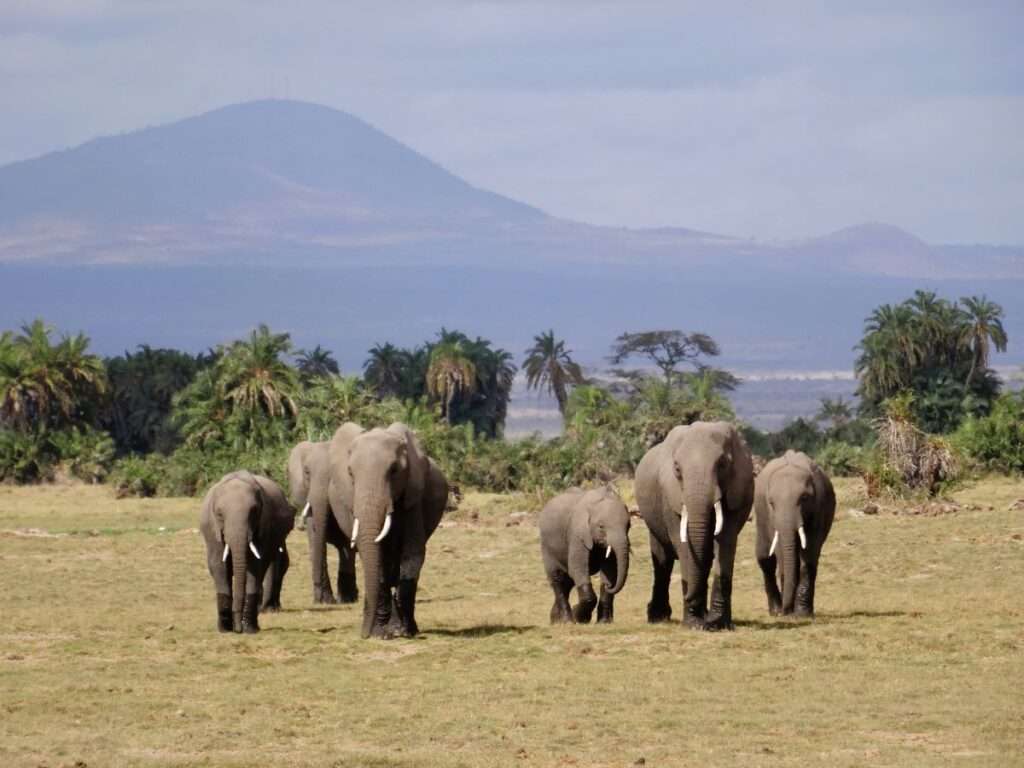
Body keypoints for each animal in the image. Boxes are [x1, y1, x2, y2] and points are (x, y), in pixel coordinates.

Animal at [198, 471, 294, 633]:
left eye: (254, 512)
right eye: (219, 514)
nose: (238, 629)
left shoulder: (264, 525)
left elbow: (256, 566)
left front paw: (249, 629)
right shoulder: (211, 529)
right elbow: (218, 566)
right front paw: (225, 629)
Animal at [327, 422, 448, 639]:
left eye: (394, 470)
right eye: (350, 473)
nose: (363, 635)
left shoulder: (412, 497)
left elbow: (412, 554)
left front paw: (405, 632)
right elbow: (379, 560)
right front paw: (380, 634)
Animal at [538, 486, 631, 624]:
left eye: (629, 525)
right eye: (601, 526)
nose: (610, 586)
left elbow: (611, 570)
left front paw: (604, 622)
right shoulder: (577, 533)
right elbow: (578, 567)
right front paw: (579, 617)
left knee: (567, 582)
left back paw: (555, 621)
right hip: (547, 547)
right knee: (558, 579)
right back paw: (567, 621)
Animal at [635, 421, 754, 630]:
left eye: (722, 464)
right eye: (677, 469)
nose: (690, 598)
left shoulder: (738, 491)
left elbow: (725, 542)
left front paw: (719, 624)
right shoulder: (670, 497)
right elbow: (683, 545)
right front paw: (694, 624)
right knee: (663, 562)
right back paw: (658, 617)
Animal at [754, 450, 835, 617]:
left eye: (804, 498)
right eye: (771, 503)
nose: (786, 611)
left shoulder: (819, 505)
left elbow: (809, 553)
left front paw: (802, 614)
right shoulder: (772, 517)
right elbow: (780, 553)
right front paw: (788, 613)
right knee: (765, 559)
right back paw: (776, 611)